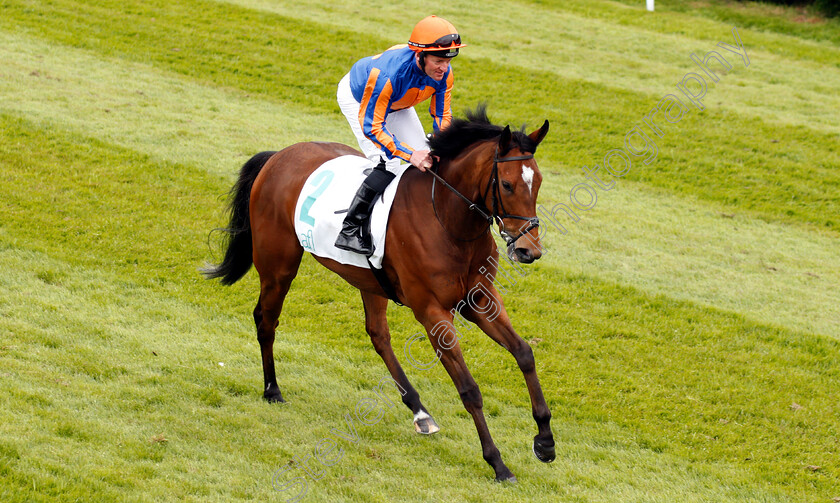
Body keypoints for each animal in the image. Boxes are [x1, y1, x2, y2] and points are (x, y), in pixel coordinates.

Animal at [203, 108, 556, 482]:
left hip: (367, 280)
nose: (529, 251)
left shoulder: (479, 299)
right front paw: (497, 462)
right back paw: (272, 389)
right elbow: (469, 389)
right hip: (279, 265)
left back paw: (419, 412)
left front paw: (545, 441)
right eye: (507, 184)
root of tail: (279, 155)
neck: (448, 220)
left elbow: (524, 353)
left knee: (378, 334)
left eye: (538, 182)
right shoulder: (432, 311)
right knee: (266, 319)